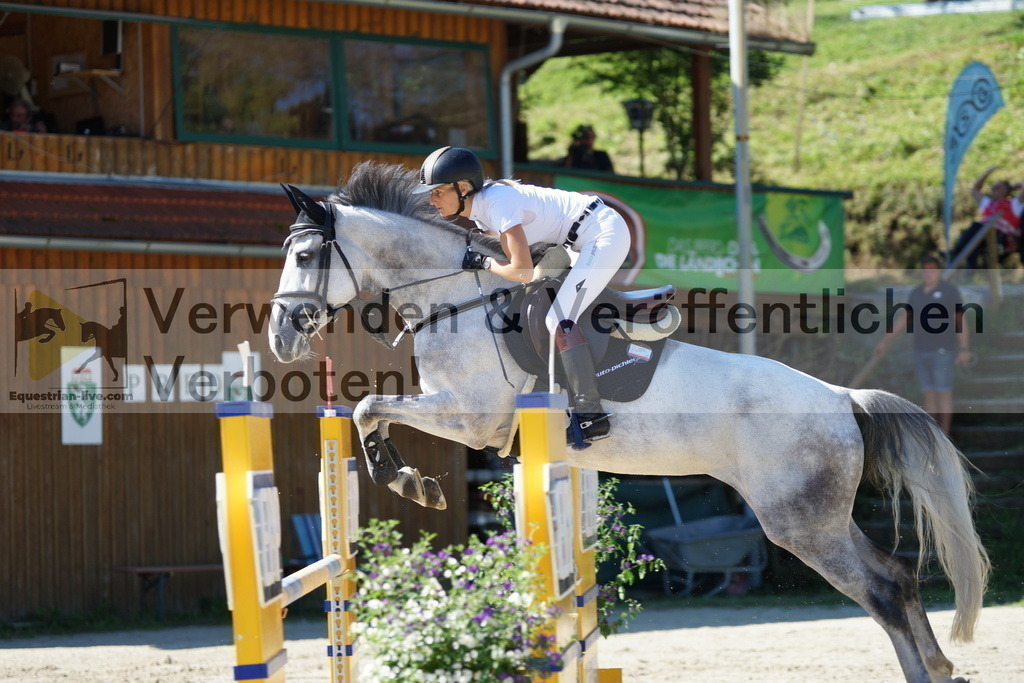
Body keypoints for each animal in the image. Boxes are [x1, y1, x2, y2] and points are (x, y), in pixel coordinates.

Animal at [268, 161, 987, 683]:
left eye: (304, 258)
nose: (280, 336)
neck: (456, 299)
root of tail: (841, 397)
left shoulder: (469, 418)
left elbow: (369, 407)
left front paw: (409, 482)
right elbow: (369, 409)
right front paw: (411, 478)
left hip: (800, 522)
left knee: (881, 589)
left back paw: (930, 668)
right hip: (820, 517)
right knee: (897, 576)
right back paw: (938, 668)